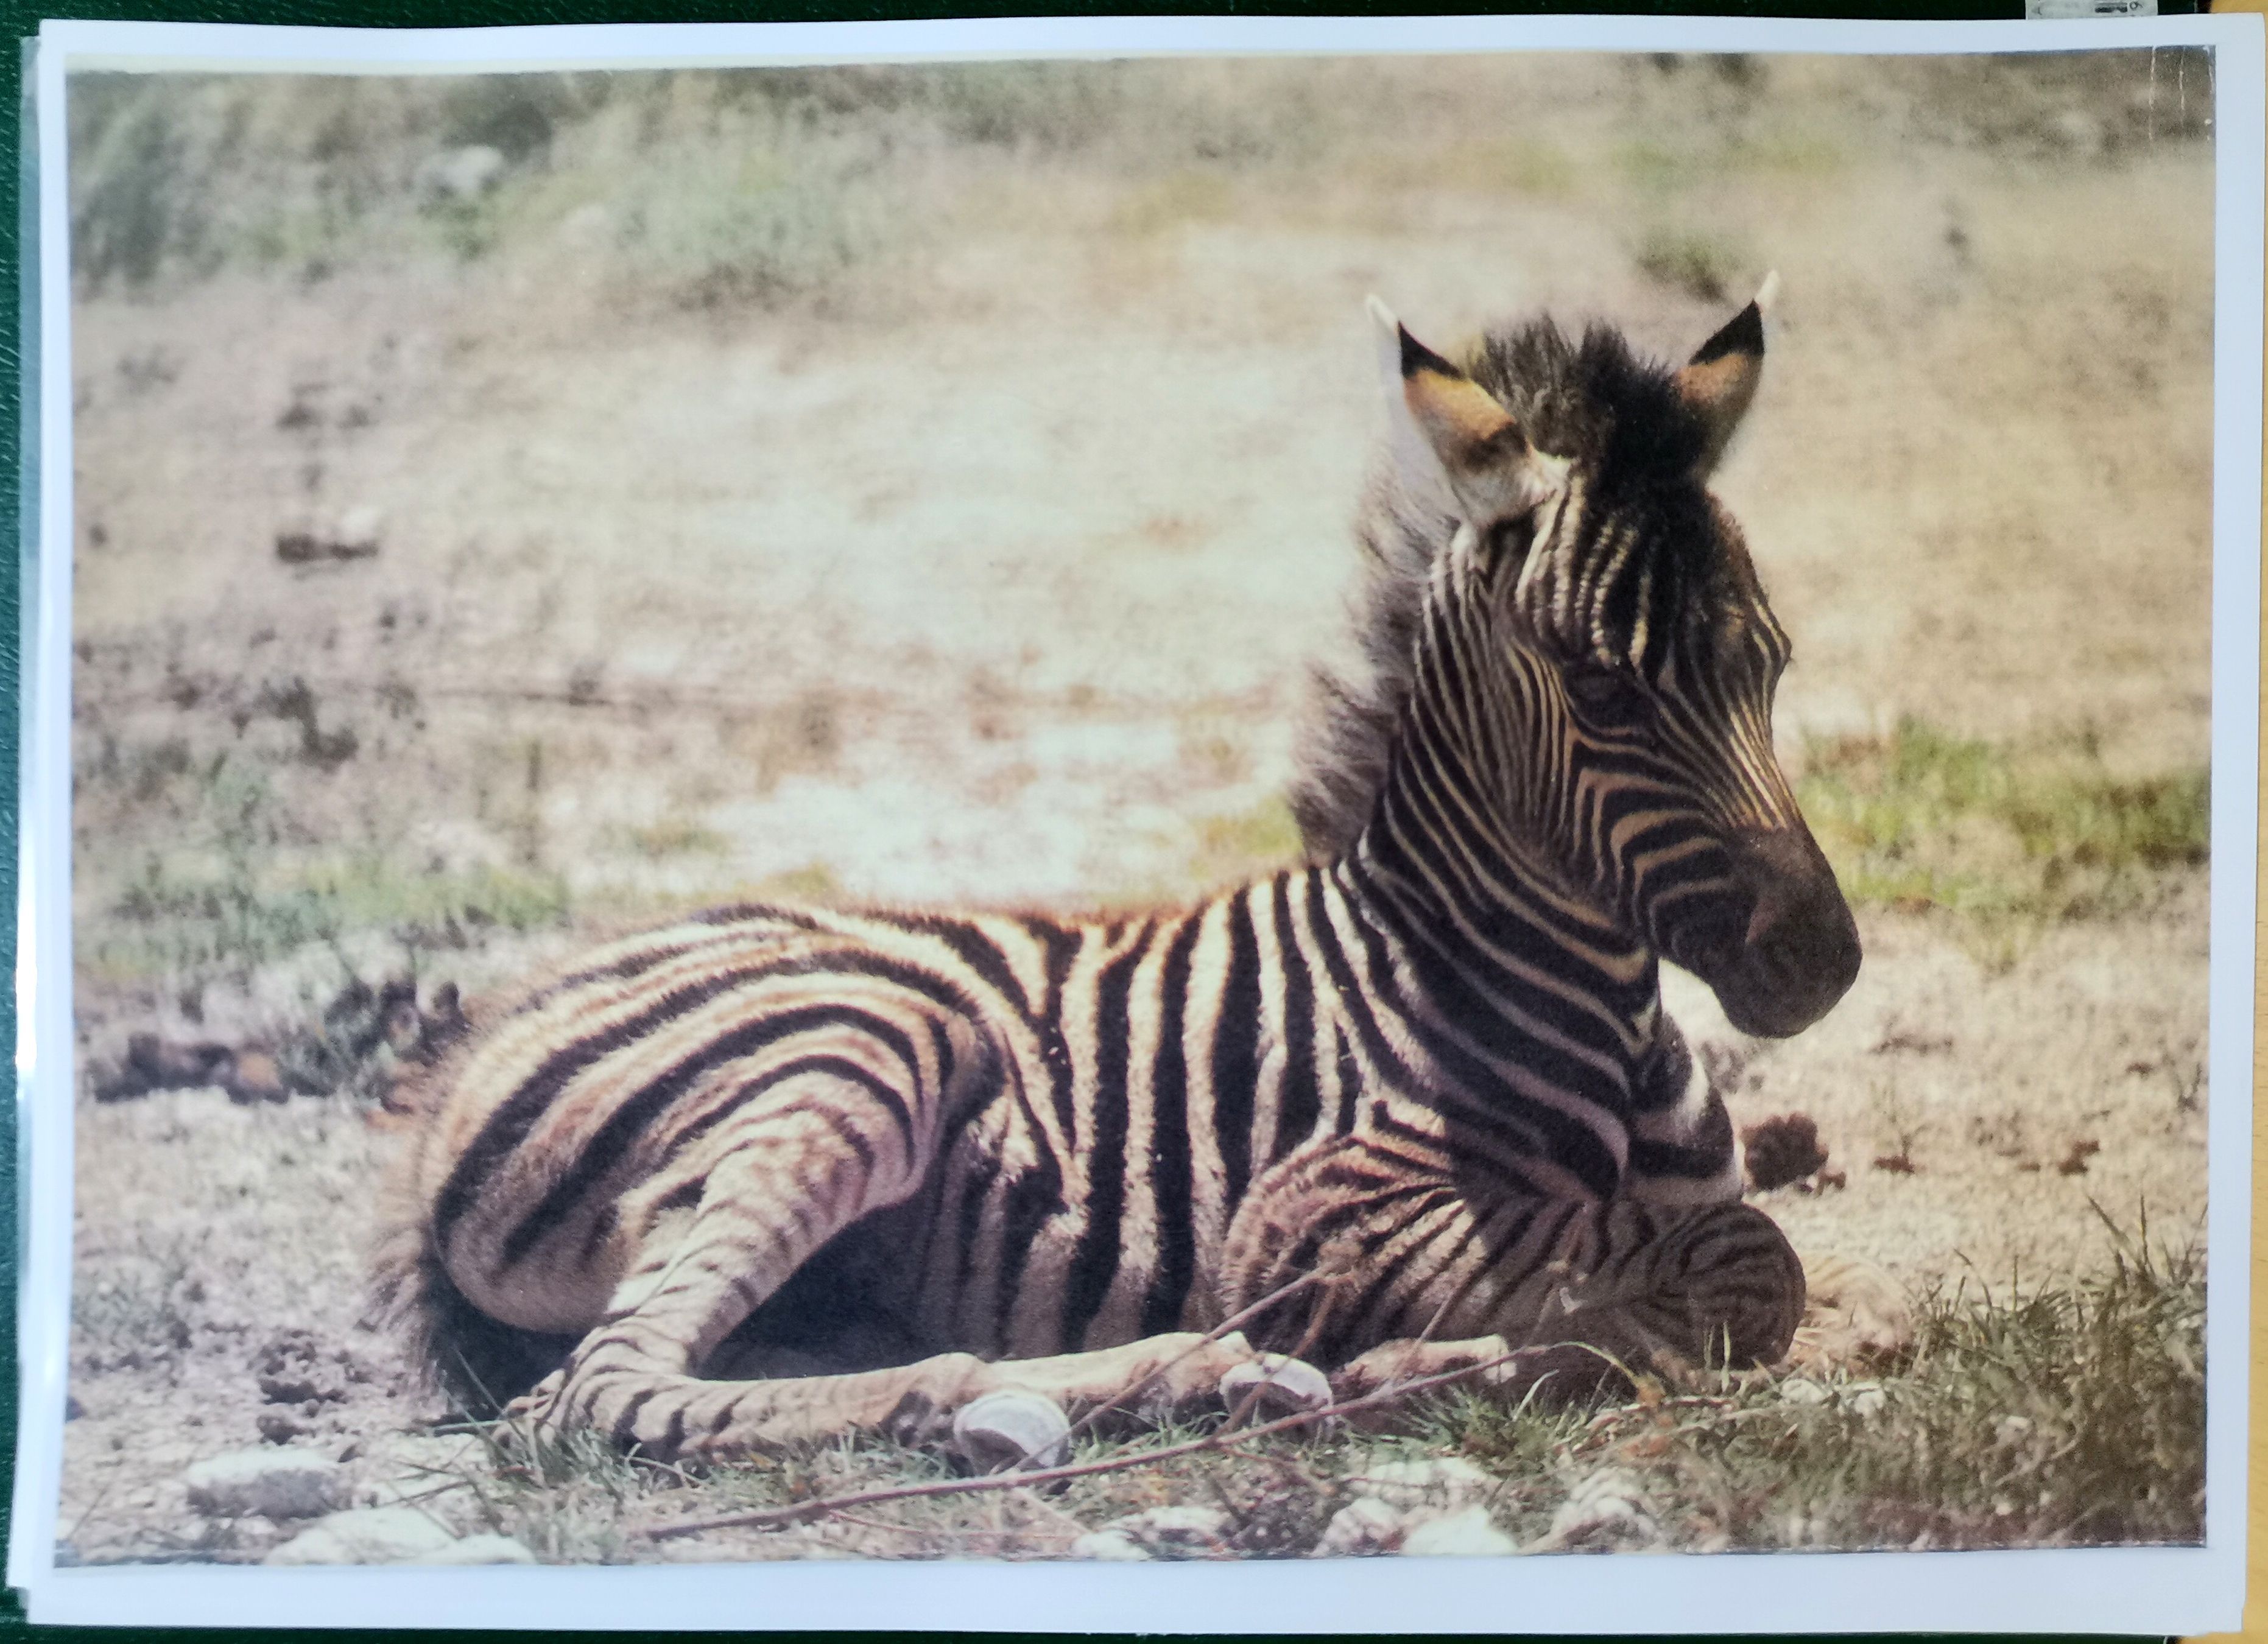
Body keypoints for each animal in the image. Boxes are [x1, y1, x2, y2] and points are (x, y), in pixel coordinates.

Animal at [378, 279, 1869, 1466]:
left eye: (1771, 664)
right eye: (1600, 692)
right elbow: (1750, 1265)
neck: (1576, 1002)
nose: (1822, 962)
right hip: (862, 1046)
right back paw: (1122, 1383)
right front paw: (1424, 1367)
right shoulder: (1319, 1220)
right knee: (602, 1393)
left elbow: (1734, 1265)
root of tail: (473, 1052)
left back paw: (1192, 1379)